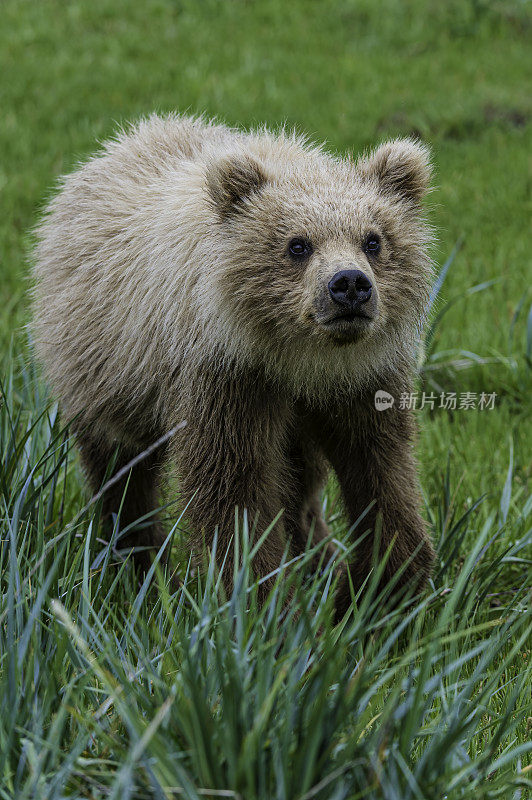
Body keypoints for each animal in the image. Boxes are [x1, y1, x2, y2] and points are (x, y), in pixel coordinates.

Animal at [31, 114, 434, 612]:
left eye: (374, 240)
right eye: (297, 244)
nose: (349, 285)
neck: (300, 359)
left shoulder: (362, 381)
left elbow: (381, 469)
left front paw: (376, 587)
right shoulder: (226, 379)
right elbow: (234, 488)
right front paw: (264, 599)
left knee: (301, 479)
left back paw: (317, 558)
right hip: (104, 364)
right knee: (120, 471)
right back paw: (139, 567)